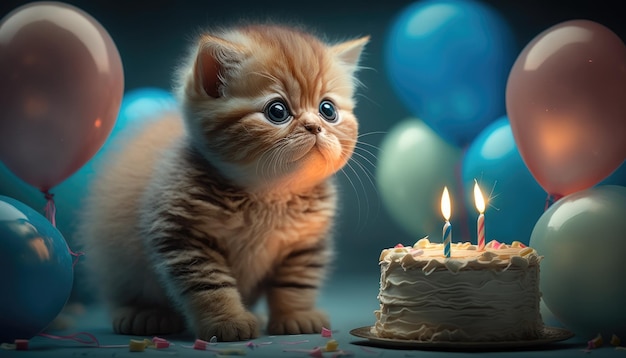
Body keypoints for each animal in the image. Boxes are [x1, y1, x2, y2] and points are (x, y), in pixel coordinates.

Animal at [77, 23, 366, 342]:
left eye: (328, 110)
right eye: (277, 111)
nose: (314, 126)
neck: (270, 196)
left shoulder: (305, 243)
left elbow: (296, 282)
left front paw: (296, 315)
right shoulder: (182, 235)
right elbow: (210, 284)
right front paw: (227, 320)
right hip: (116, 260)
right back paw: (143, 314)